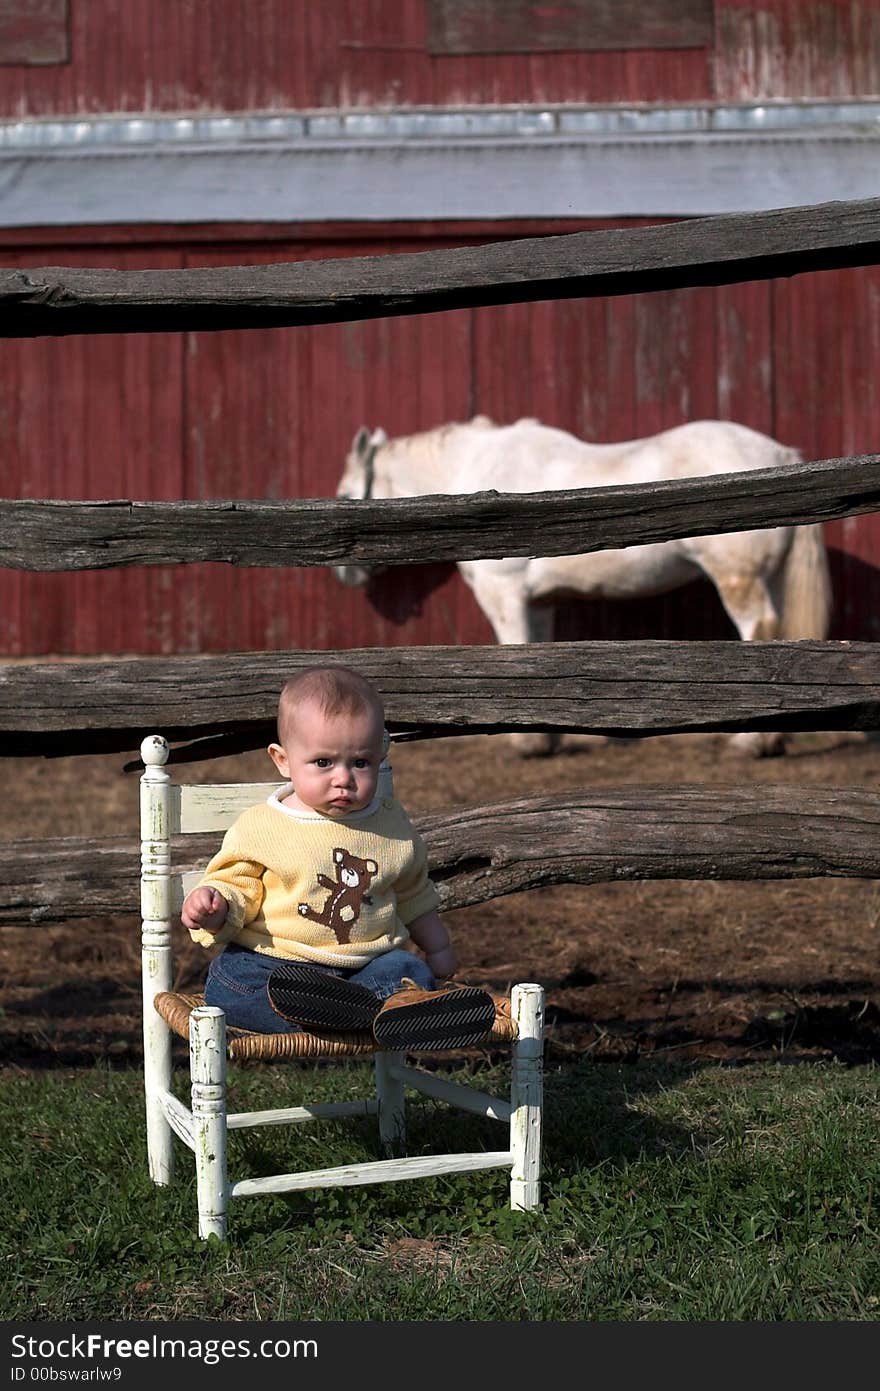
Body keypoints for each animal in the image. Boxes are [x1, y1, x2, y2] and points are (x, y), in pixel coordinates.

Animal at [335, 414, 828, 756]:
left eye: (344, 497)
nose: (345, 575)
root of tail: (781, 455)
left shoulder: (503, 594)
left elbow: (512, 652)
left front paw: (526, 745)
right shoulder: (538, 602)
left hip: (738, 580)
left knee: (759, 632)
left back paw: (752, 742)